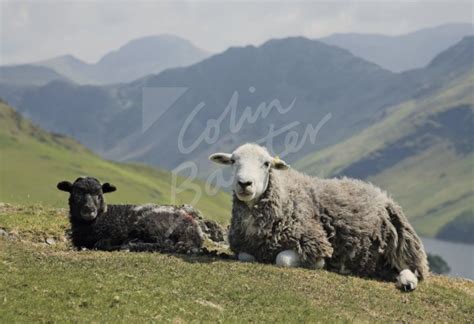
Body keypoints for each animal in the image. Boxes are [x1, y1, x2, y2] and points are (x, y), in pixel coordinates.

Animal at [56, 177, 227, 253]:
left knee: (162, 244)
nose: (89, 210)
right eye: (76, 193)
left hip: (150, 224)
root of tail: (194, 230)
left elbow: (101, 243)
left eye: (99, 194)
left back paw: (130, 244)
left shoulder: (114, 234)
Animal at [209, 143, 428, 290]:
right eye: (233, 161)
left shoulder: (315, 241)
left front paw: (318, 264)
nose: (244, 183)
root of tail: (381, 193)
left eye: (266, 164)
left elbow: (283, 259)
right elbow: (246, 256)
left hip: (401, 241)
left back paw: (407, 281)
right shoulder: (246, 248)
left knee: (412, 267)